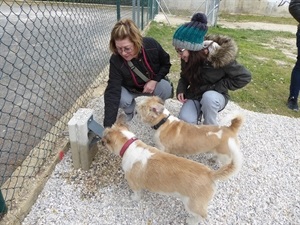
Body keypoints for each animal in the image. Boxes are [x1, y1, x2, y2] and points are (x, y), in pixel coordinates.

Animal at [102, 114, 243, 225]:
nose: (101, 141)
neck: (129, 145)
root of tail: (210, 173)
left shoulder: (134, 184)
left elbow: (136, 194)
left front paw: (133, 198)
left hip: (192, 205)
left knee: (202, 216)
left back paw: (191, 221)